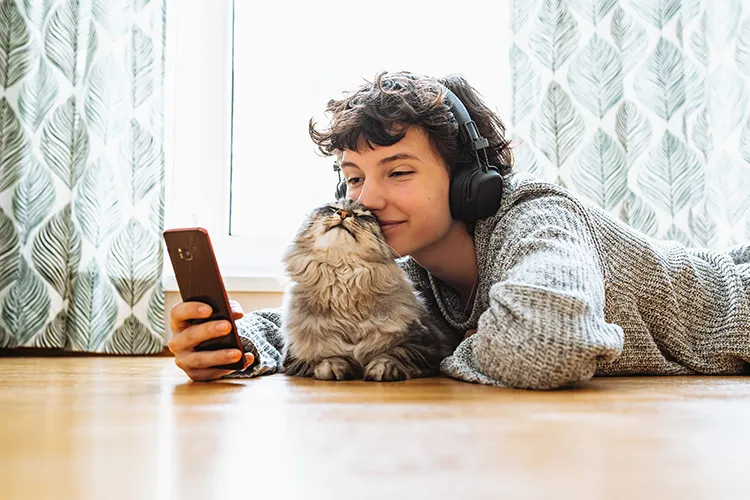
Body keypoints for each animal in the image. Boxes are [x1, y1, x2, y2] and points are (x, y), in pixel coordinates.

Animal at [280, 197, 462, 380]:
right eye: (332, 208)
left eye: (363, 216)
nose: (343, 213)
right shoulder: (294, 355)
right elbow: (329, 355)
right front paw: (334, 365)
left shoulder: (426, 344)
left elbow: (396, 353)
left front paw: (382, 367)